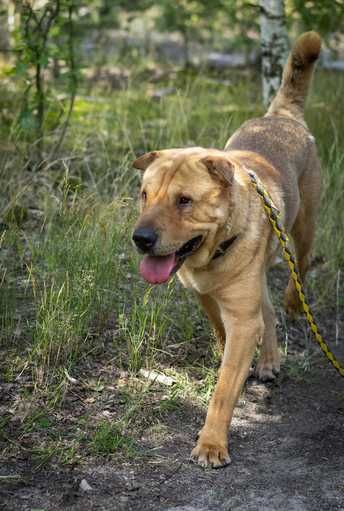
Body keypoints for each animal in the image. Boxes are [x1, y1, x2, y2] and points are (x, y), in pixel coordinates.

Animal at [132, 33, 322, 468]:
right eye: (145, 195)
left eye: (184, 201)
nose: (140, 238)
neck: (215, 252)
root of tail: (281, 116)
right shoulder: (210, 299)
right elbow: (225, 335)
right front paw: (242, 358)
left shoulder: (240, 314)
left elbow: (222, 392)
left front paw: (212, 443)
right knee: (266, 310)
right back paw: (268, 358)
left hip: (303, 227)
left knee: (300, 266)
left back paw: (293, 303)